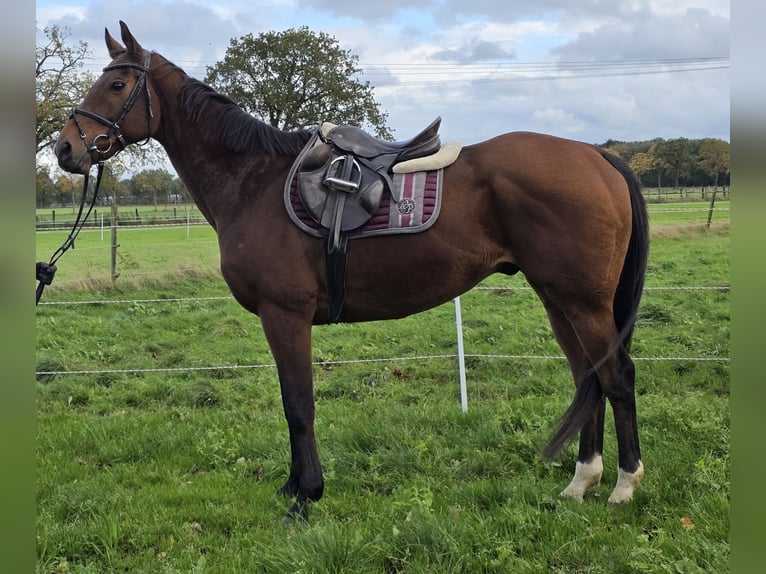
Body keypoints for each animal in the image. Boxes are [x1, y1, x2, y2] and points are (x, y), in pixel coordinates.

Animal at [54, 21, 649, 520]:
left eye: (115, 84)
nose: (64, 149)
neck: (253, 180)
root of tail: (597, 157)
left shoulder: (285, 315)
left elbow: (299, 405)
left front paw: (306, 496)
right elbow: (292, 403)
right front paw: (294, 486)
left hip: (582, 300)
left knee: (616, 376)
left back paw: (624, 486)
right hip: (556, 297)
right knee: (589, 376)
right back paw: (581, 481)